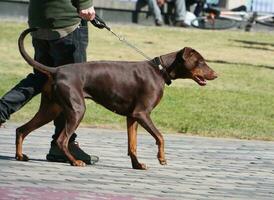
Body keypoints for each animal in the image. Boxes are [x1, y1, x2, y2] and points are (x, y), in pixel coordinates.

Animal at [15, 27, 217, 169]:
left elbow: (132, 144)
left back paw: (20, 156)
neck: (160, 70)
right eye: (200, 61)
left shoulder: (132, 117)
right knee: (61, 140)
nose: (216, 74)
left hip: (51, 108)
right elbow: (160, 136)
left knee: (22, 129)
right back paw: (75, 161)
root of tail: (56, 70)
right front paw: (162, 158)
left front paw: (137, 165)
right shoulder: (142, 113)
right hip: (77, 110)